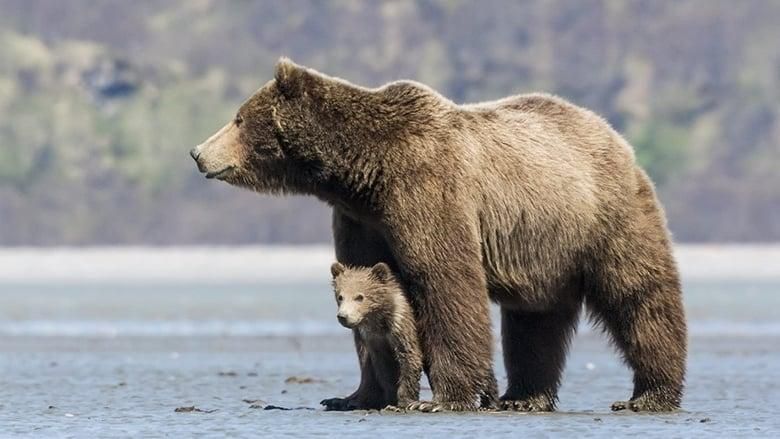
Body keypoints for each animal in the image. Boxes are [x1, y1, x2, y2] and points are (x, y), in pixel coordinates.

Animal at [320, 262, 423, 411]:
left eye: (359, 297)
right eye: (340, 296)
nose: (343, 316)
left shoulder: (400, 325)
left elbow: (409, 357)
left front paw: (403, 402)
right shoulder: (374, 339)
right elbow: (385, 369)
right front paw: (390, 399)